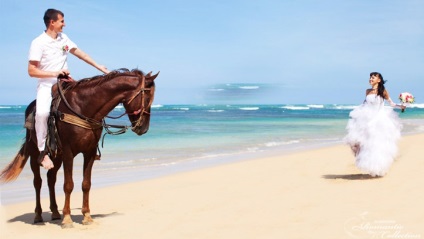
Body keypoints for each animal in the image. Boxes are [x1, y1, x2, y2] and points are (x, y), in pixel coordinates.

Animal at [0, 68, 157, 228]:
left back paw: (55, 212)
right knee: (37, 182)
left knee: (51, 179)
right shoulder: (68, 152)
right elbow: (68, 185)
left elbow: (86, 184)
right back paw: (38, 215)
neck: (84, 108)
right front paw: (67, 218)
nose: (144, 128)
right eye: (148, 99)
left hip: (57, 156)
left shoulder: (89, 152)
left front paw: (86, 216)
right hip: (34, 153)